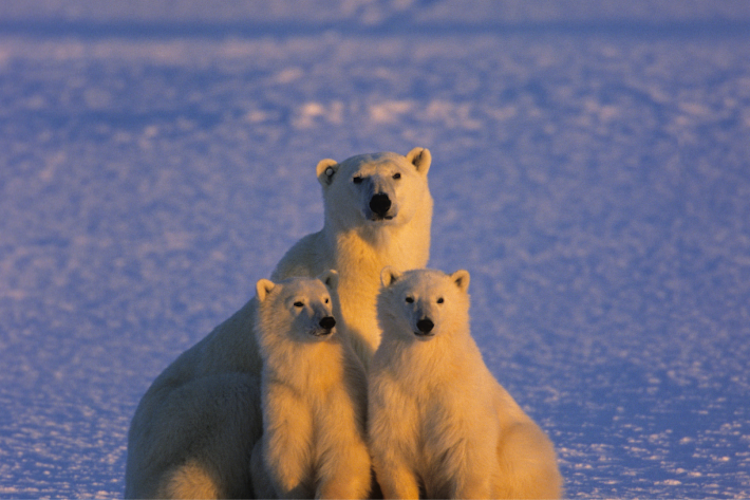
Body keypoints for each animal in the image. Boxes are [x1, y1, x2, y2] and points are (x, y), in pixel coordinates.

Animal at [249, 270, 372, 500]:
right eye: (298, 303)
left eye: (326, 299)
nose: (327, 321)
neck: (311, 378)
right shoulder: (284, 395)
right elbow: (287, 451)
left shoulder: (341, 394)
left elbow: (343, 449)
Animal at [369, 267, 563, 500]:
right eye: (409, 298)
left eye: (440, 299)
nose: (425, 324)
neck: (424, 373)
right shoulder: (392, 396)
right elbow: (395, 457)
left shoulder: (460, 398)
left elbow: (469, 459)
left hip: (522, 443)